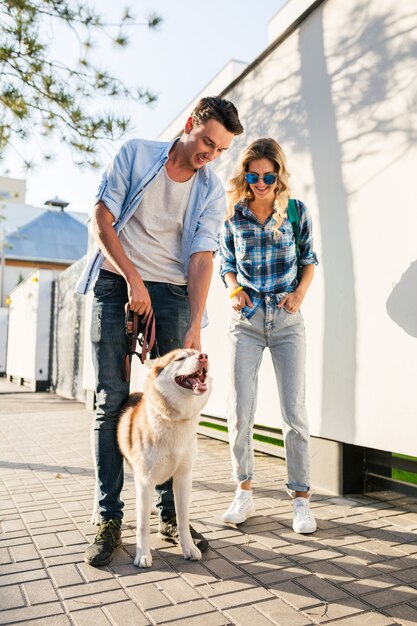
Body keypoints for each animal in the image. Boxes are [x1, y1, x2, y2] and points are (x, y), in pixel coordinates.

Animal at [116, 346, 211, 564]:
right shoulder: (145, 479)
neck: (175, 420)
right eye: (181, 358)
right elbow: (142, 526)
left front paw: (189, 547)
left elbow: (183, 519)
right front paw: (142, 555)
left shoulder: (183, 478)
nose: (204, 357)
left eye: (197, 351)